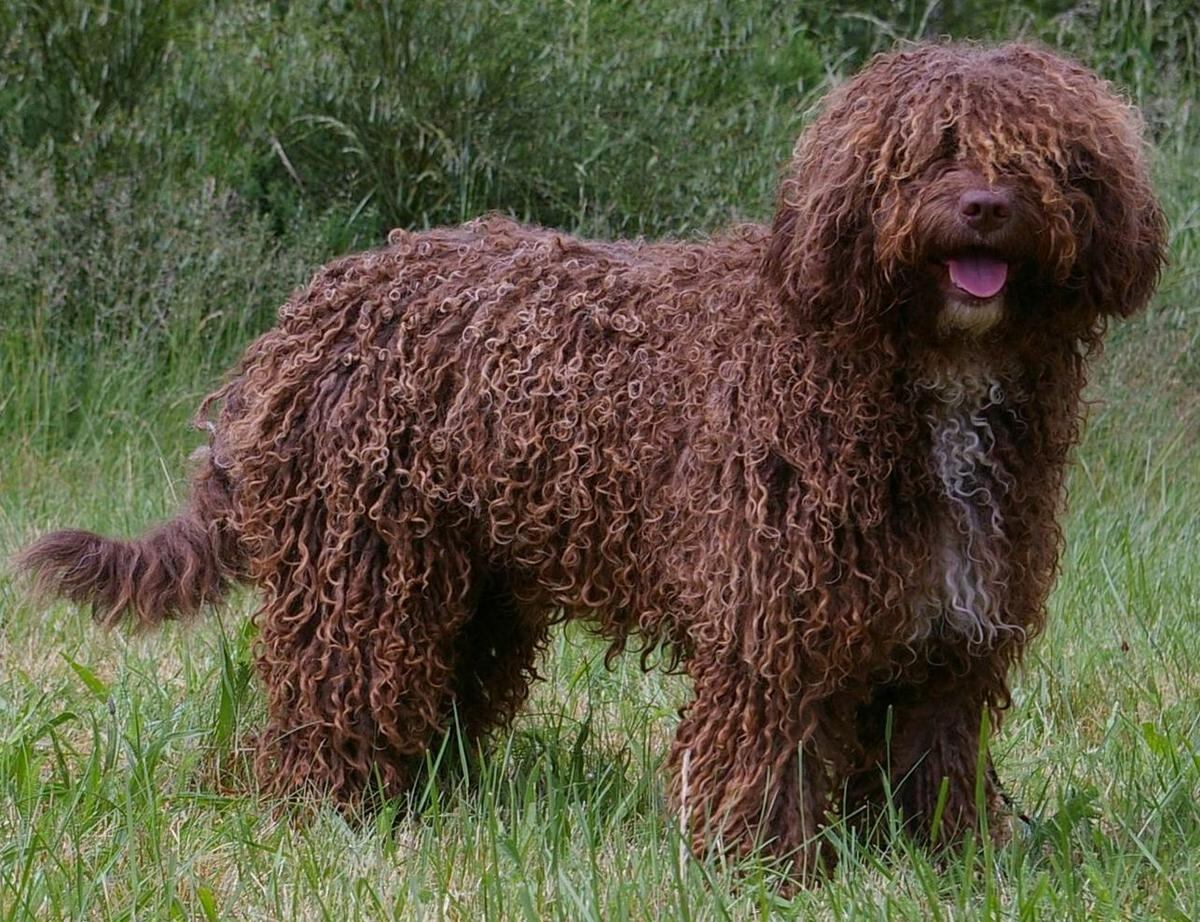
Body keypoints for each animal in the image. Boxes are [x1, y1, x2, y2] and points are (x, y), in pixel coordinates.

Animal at [18, 43, 1161, 873]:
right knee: (322, 706)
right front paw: (763, 870)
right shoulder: (774, 622)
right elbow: (771, 753)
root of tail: (311, 310)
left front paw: (939, 865)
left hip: (467, 588)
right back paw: (318, 811)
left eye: (1038, 154)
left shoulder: (948, 629)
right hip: (364, 574)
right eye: (929, 150)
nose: (985, 206)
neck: (913, 365)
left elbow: (932, 761)